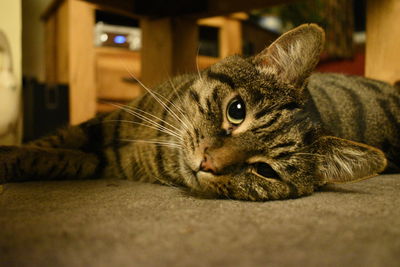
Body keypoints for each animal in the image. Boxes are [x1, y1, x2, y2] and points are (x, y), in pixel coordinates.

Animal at [0, 24, 400, 201]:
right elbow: (51, 142)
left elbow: (56, 159)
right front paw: (13, 150)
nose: (208, 162)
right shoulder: (105, 122)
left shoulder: (105, 161)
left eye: (265, 170)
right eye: (236, 111)